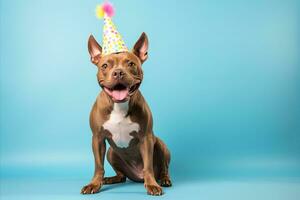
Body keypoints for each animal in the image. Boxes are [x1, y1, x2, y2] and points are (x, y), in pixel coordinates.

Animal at [81, 32, 172, 195]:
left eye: (131, 64)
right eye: (105, 66)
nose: (118, 72)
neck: (119, 105)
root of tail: (137, 176)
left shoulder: (146, 138)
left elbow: (148, 166)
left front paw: (152, 185)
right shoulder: (97, 138)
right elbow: (98, 166)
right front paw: (94, 184)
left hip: (160, 144)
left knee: (163, 168)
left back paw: (164, 179)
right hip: (111, 152)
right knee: (121, 175)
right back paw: (111, 179)